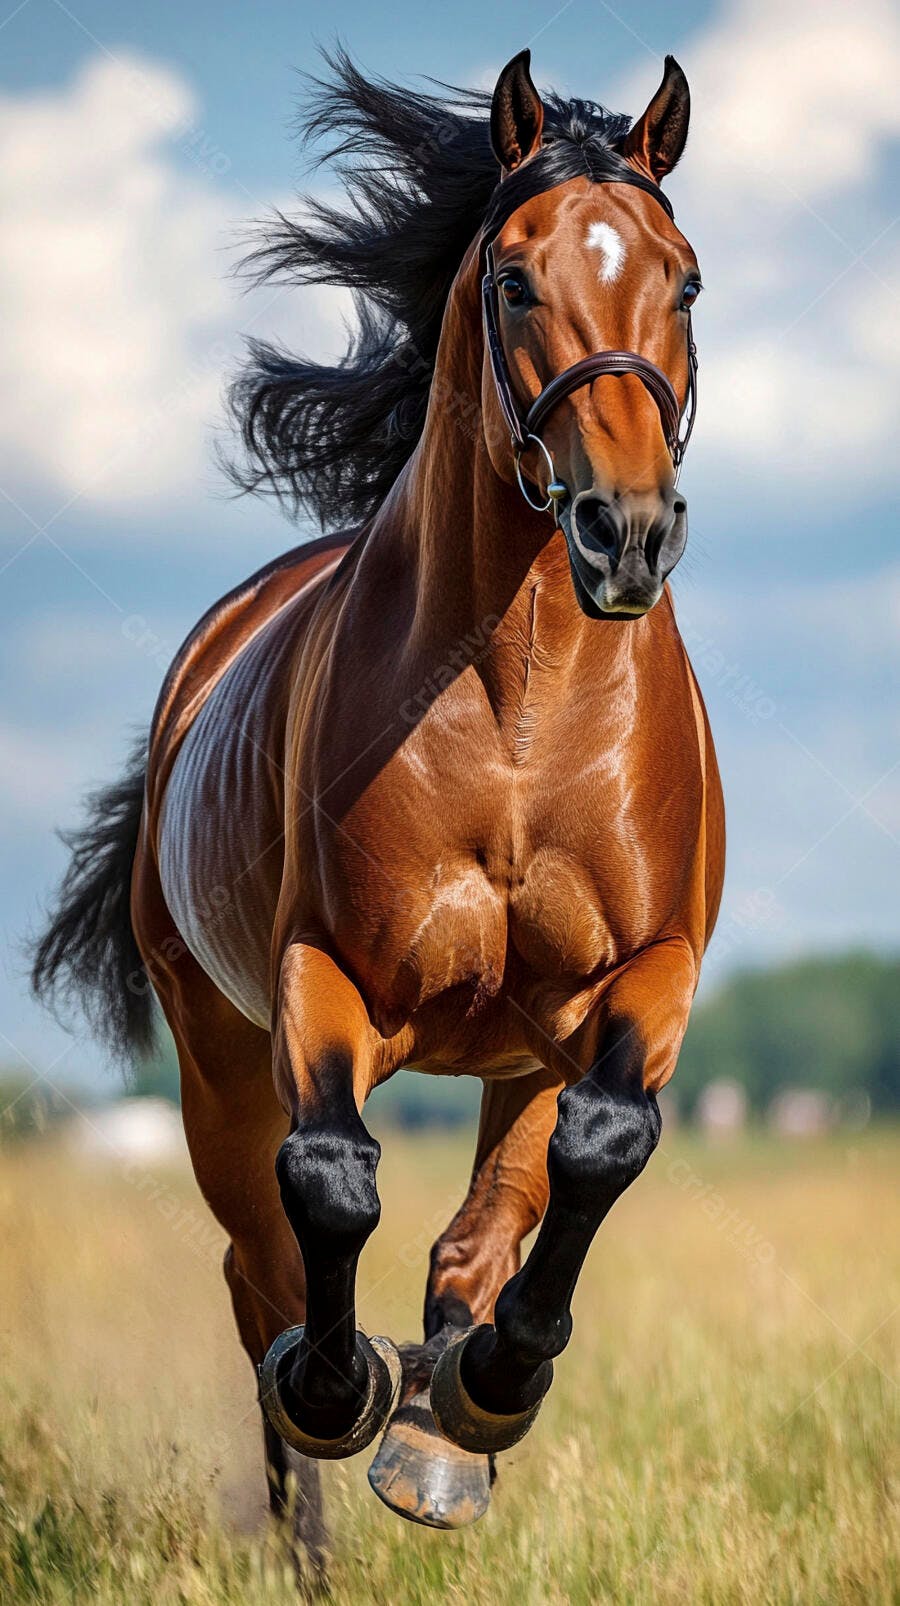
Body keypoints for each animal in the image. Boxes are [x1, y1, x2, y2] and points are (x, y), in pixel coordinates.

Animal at [33, 46, 724, 1582]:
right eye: (516, 280)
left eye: (687, 279)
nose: (627, 531)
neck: (524, 707)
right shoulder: (324, 978)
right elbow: (335, 1178)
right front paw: (344, 1388)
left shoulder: (641, 974)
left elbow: (599, 1148)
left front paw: (481, 1392)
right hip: (216, 1057)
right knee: (261, 1266)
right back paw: (321, 1484)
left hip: (525, 1046)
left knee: (494, 1211)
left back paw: (445, 1423)